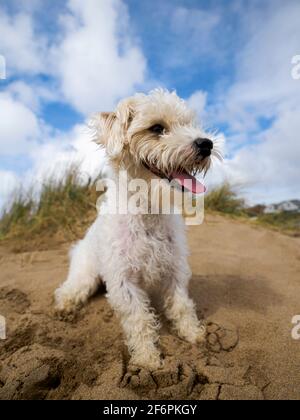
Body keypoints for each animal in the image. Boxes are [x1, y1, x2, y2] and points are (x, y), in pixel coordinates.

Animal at [54, 88, 220, 368]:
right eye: (157, 128)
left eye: (189, 124)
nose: (206, 144)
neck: (148, 210)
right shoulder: (124, 281)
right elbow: (139, 319)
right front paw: (147, 359)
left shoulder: (174, 271)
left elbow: (181, 305)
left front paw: (192, 333)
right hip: (85, 275)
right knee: (69, 289)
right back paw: (64, 307)